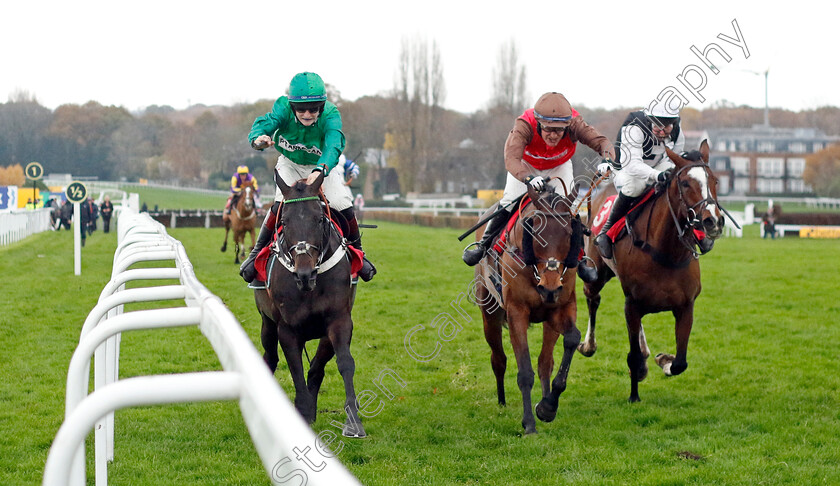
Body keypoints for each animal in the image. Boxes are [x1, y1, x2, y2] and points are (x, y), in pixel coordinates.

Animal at [253, 171, 364, 436]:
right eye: (284, 221)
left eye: (319, 218)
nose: (304, 274)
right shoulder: (287, 328)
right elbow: (295, 368)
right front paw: (301, 413)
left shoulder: (339, 320)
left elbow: (344, 363)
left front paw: (353, 421)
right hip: (266, 322)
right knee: (270, 357)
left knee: (316, 367)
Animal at [476, 181, 588, 432]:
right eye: (536, 232)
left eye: (570, 232)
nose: (549, 288)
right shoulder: (516, 312)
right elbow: (524, 371)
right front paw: (529, 424)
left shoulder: (561, 307)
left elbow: (572, 339)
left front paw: (547, 407)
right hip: (489, 314)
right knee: (498, 359)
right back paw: (501, 401)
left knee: (545, 362)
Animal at [580, 140, 724, 402]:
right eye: (685, 183)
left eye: (714, 181)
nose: (713, 222)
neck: (666, 253)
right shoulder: (632, 303)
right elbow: (633, 354)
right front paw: (634, 395)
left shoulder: (686, 305)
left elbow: (680, 362)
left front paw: (663, 360)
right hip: (596, 274)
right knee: (592, 299)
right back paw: (589, 345)